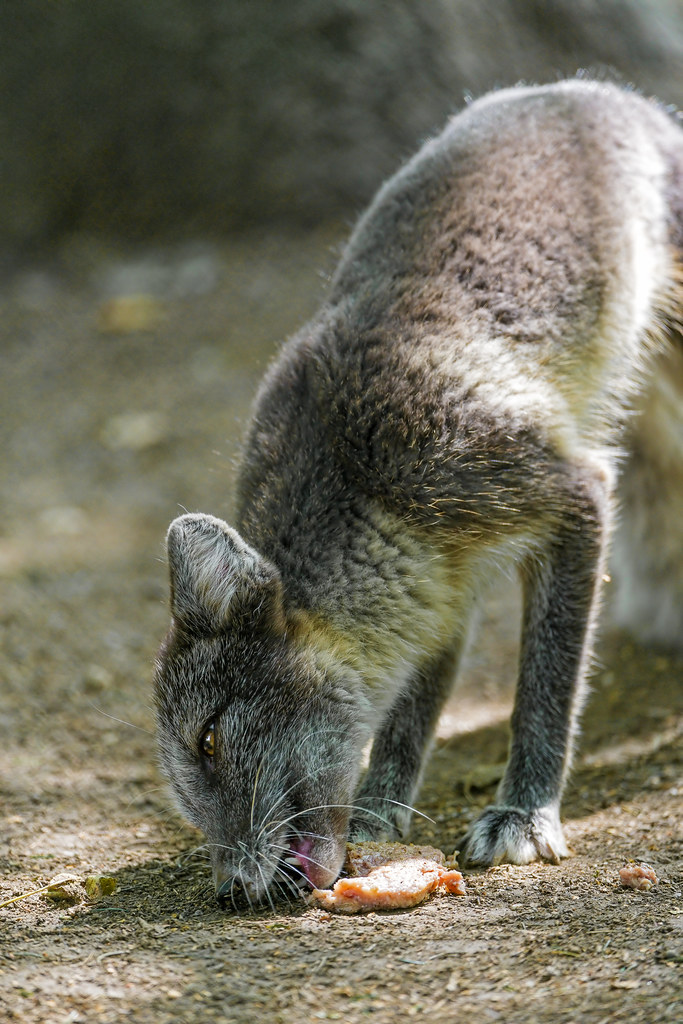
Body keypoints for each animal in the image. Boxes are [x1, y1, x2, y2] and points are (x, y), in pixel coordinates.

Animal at [154, 77, 683, 910]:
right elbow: (411, 709)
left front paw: (523, 813)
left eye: (208, 738)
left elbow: (546, 684)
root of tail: (580, 89)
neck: (350, 474)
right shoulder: (438, 583)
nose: (231, 891)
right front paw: (381, 808)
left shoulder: (565, 492)